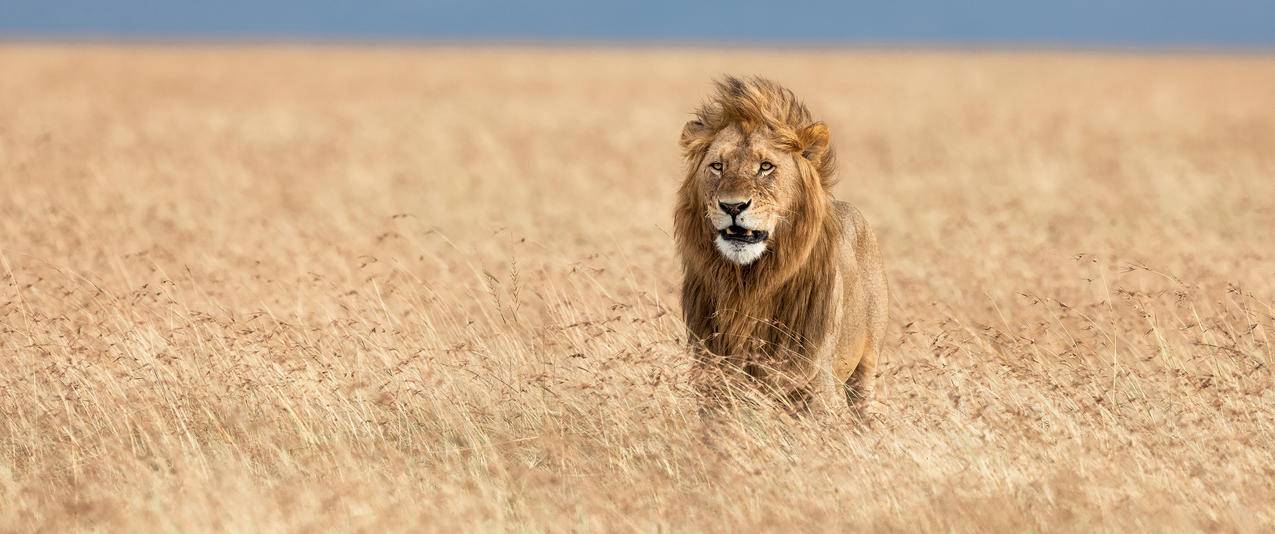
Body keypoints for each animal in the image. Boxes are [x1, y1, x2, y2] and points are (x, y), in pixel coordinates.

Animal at [673, 77, 892, 412]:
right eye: (717, 166)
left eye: (765, 166)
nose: (732, 206)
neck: (748, 284)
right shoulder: (712, 378)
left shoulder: (816, 381)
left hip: (866, 367)